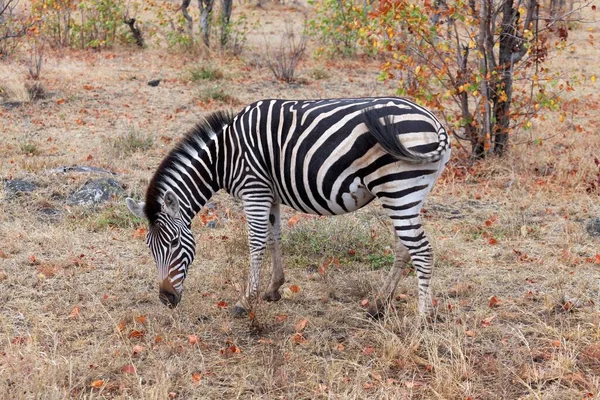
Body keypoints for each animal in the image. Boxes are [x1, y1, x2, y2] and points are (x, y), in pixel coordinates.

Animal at [126, 95, 450, 318]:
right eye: (149, 248)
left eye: (174, 243)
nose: (166, 299)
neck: (223, 157)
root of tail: (433, 122)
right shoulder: (270, 194)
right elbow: (274, 238)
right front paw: (273, 289)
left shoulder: (254, 189)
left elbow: (256, 243)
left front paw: (245, 301)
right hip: (406, 194)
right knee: (404, 247)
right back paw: (379, 305)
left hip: (398, 188)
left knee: (421, 250)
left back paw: (422, 319)